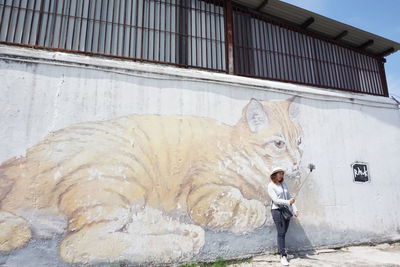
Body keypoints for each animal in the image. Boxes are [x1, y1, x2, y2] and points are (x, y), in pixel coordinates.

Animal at [0, 98, 302, 266]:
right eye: (278, 143)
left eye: (299, 142)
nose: (298, 162)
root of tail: (20, 163)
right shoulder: (207, 196)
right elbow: (247, 210)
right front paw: (265, 210)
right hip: (118, 178)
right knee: (76, 245)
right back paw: (178, 243)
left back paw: (179, 231)